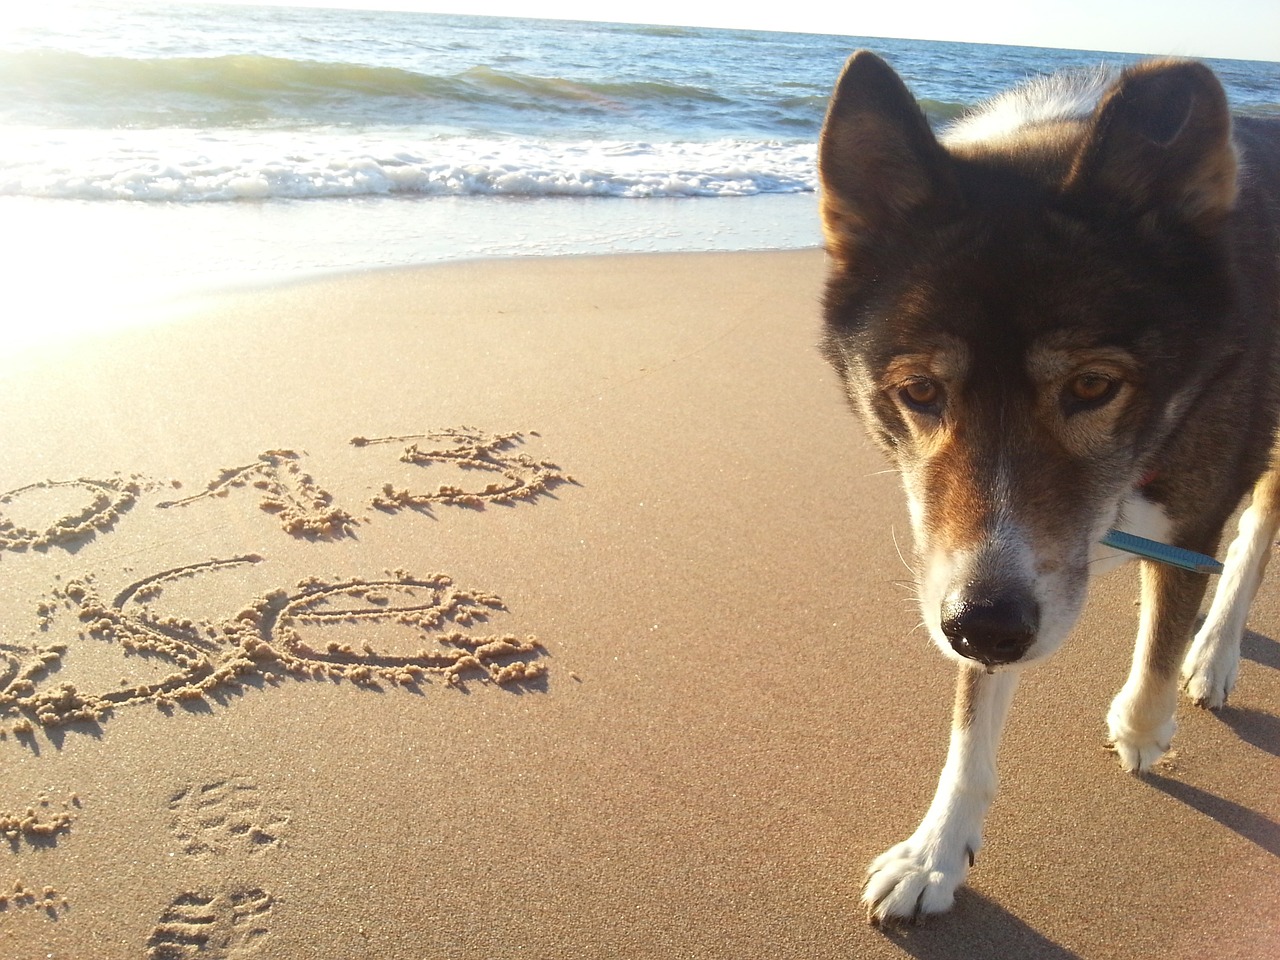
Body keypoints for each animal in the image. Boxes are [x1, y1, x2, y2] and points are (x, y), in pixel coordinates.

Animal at [819, 52, 1280, 926]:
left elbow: (1162, 636)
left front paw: (1143, 724)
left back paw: (1217, 652)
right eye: (921, 392)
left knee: (1258, 529)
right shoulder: (966, 563)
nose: (986, 628)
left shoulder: (1188, 510)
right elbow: (970, 723)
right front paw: (936, 853)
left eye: (1094, 386)